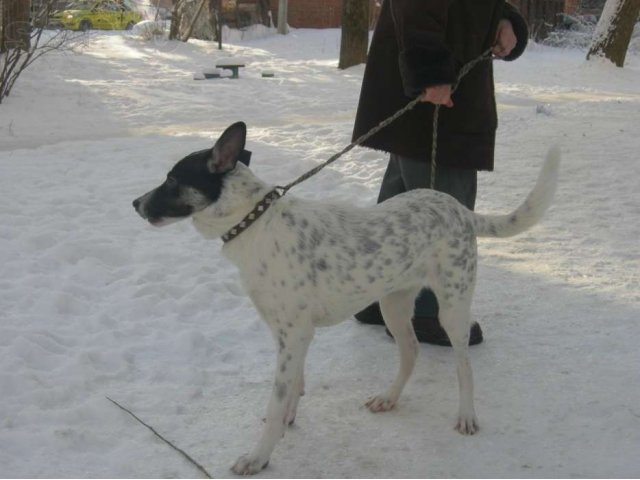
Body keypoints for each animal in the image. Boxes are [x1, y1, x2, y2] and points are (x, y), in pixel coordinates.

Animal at [134, 122, 560, 474]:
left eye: (171, 180)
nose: (135, 204)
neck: (254, 222)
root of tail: (459, 208)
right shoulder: (291, 335)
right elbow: (293, 388)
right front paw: (287, 420)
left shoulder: (293, 335)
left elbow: (277, 400)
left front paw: (259, 457)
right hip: (393, 303)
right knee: (411, 352)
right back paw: (389, 398)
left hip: (453, 308)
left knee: (463, 366)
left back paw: (467, 415)